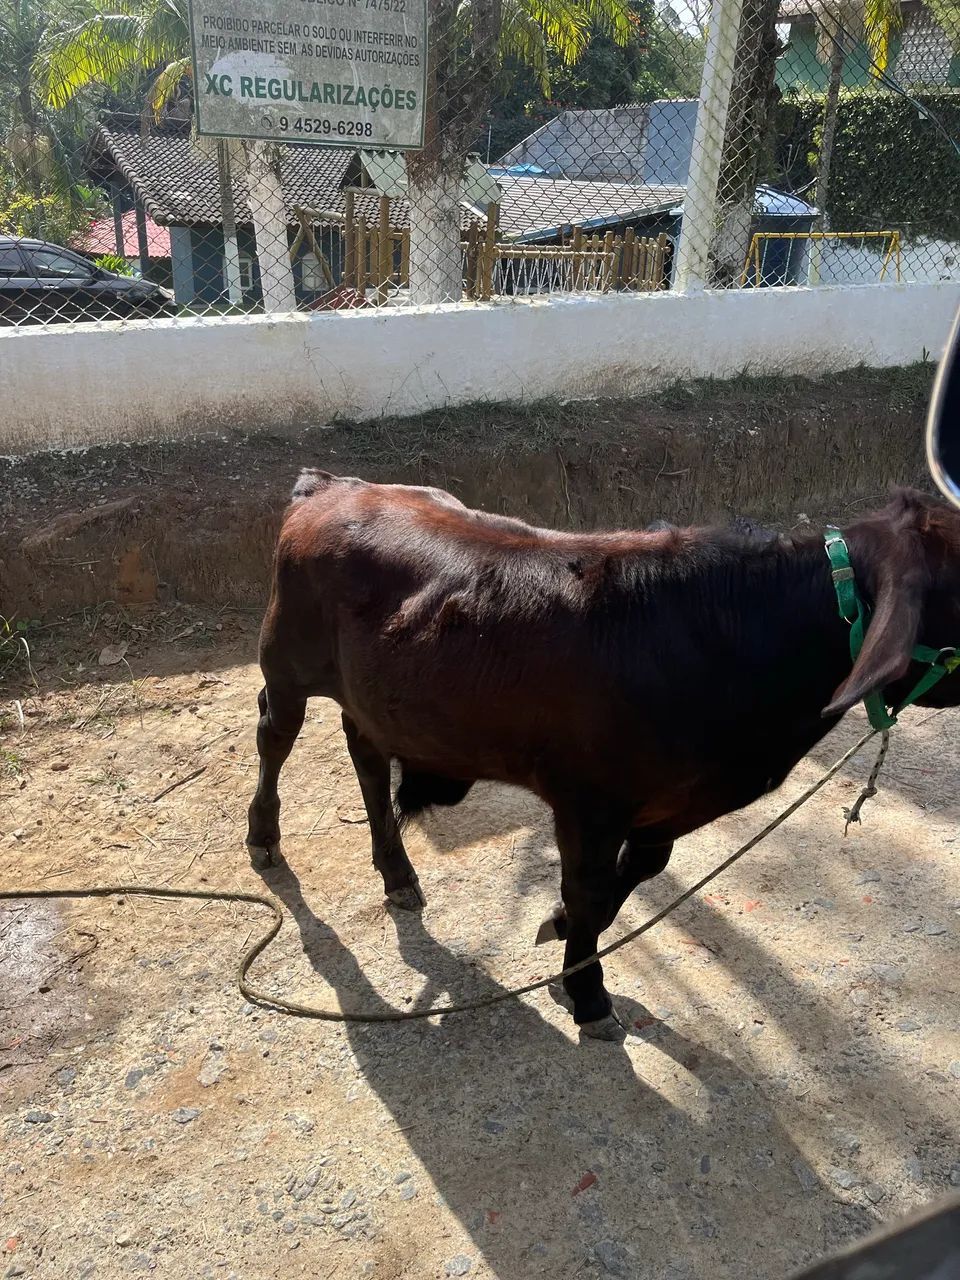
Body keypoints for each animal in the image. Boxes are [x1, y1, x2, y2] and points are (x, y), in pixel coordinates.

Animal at [246, 475, 960, 1039]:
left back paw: (397, 873)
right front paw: (588, 995)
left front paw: (563, 935)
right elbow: (588, 889)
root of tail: (330, 486)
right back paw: (264, 838)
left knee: (365, 753)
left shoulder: (665, 803)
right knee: (275, 735)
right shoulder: (587, 804)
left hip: (369, 696)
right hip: (286, 664)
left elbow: (635, 874)